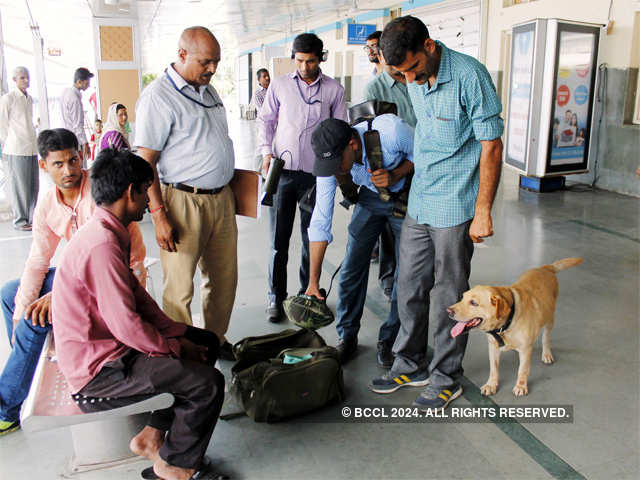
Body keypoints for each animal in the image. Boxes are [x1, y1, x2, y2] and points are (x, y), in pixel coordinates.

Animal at [448, 258, 584, 398]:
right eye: (463, 297)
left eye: (474, 303)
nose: (448, 311)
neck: (506, 323)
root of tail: (545, 268)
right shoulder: (493, 347)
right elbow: (493, 369)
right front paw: (491, 385)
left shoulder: (525, 350)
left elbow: (522, 370)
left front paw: (521, 386)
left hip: (550, 318)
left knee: (545, 338)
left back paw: (546, 354)